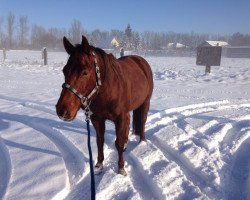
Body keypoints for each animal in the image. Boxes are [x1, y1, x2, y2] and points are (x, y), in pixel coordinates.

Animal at [56, 35, 154, 175]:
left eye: (85, 72)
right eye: (64, 70)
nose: (62, 110)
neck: (108, 89)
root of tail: (140, 60)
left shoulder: (120, 118)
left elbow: (118, 143)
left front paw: (121, 168)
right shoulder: (97, 119)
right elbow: (99, 141)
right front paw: (99, 165)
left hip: (145, 103)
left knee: (142, 122)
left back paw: (142, 142)